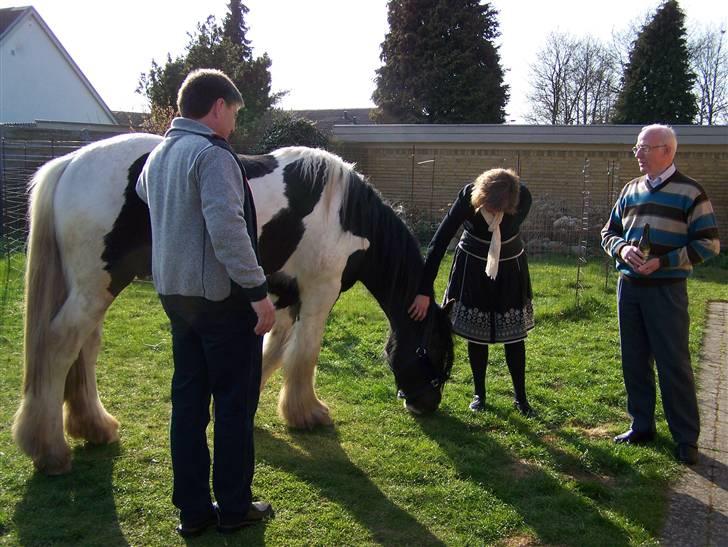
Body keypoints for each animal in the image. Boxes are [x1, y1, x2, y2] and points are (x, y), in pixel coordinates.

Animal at [14, 134, 452, 476]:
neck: (343, 211)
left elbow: (272, 353)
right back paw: (50, 450)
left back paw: (95, 427)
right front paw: (308, 414)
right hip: (95, 287)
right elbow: (304, 355)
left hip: (92, 290)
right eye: (432, 352)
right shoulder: (318, 293)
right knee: (59, 348)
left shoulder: (285, 298)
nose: (426, 405)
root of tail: (71, 163)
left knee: (84, 350)